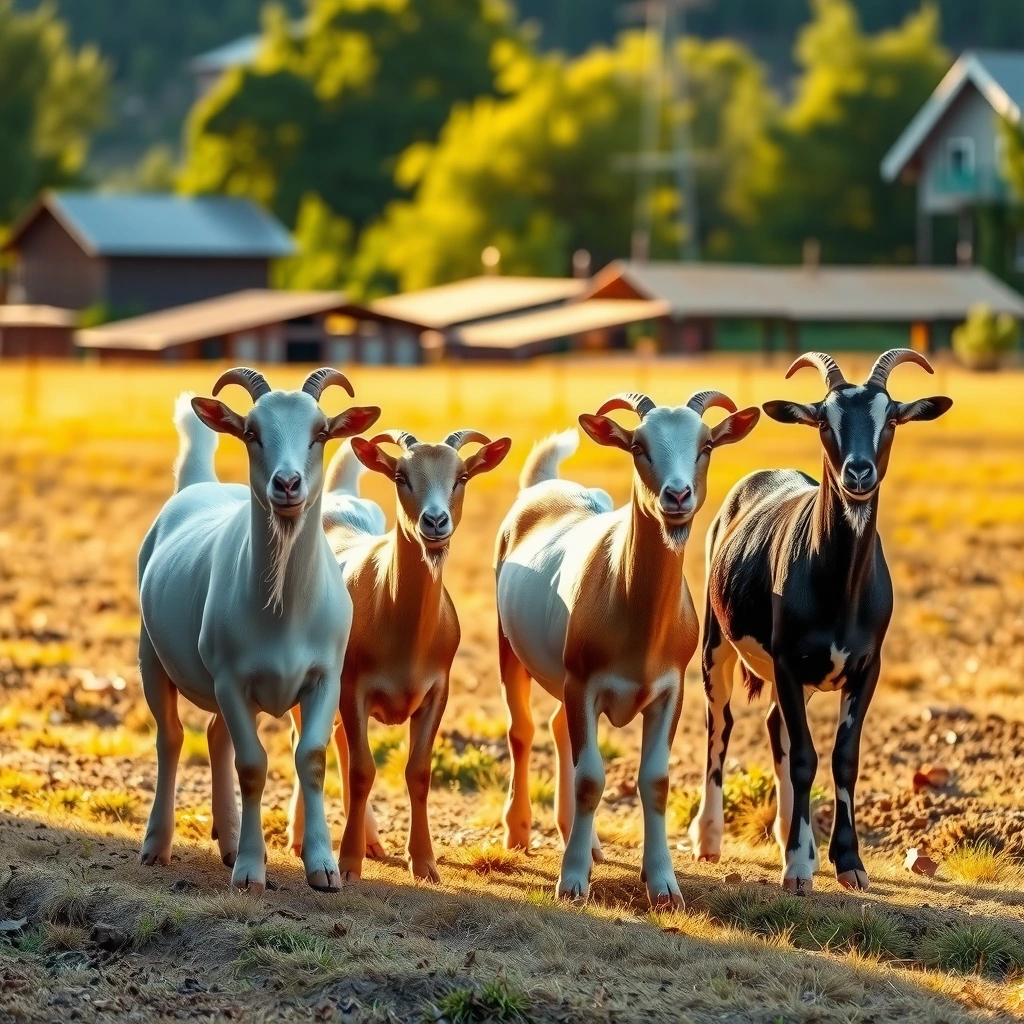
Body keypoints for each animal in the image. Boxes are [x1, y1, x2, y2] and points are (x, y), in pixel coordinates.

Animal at [137, 367, 380, 895]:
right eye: (251, 433)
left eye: (320, 433)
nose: (286, 483)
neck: (283, 611)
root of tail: (199, 484)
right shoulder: (231, 678)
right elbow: (251, 767)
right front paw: (251, 870)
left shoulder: (325, 677)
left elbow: (311, 759)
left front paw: (323, 866)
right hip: (151, 655)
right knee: (171, 739)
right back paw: (156, 846)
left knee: (215, 735)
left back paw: (228, 841)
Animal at [288, 427, 511, 883]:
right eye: (400, 476)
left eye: (462, 477)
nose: (435, 521)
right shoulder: (353, 687)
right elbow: (362, 771)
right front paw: (348, 863)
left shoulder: (436, 691)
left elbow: (418, 772)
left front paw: (424, 862)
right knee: (307, 739)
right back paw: (304, 839)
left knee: (336, 741)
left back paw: (371, 840)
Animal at [495, 393, 760, 906]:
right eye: (639, 446)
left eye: (706, 445)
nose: (677, 496)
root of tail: (544, 486)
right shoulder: (584, 684)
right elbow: (590, 779)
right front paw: (571, 881)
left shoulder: (669, 691)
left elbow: (655, 781)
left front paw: (663, 884)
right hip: (511, 650)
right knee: (524, 729)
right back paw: (520, 831)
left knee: (559, 728)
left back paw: (587, 842)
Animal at [690, 350, 952, 893]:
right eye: (825, 421)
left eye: (890, 418)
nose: (859, 472)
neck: (841, 590)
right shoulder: (789, 663)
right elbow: (806, 758)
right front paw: (795, 870)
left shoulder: (866, 668)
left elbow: (842, 757)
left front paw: (847, 861)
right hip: (716, 644)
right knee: (720, 724)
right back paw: (710, 839)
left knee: (776, 728)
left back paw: (798, 840)